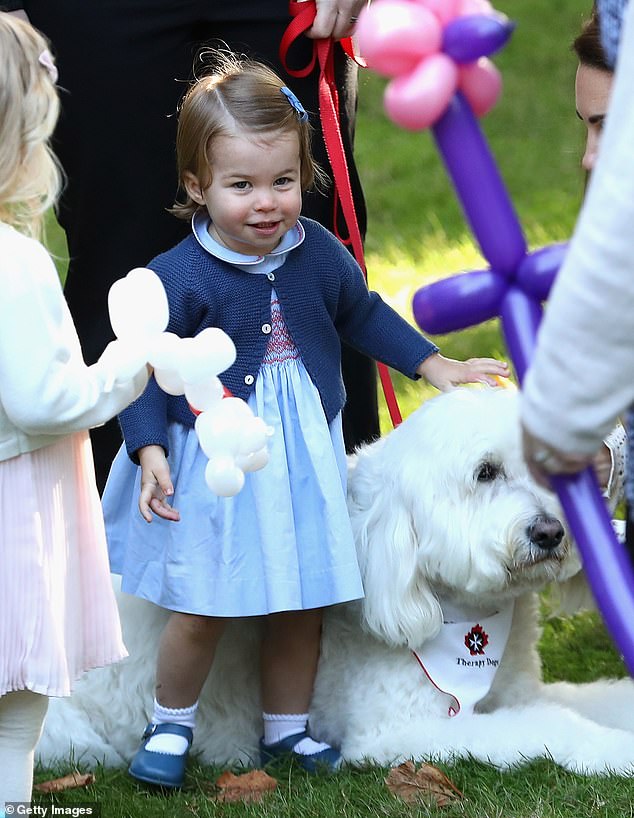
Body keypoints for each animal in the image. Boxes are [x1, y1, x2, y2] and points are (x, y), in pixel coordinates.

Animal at [35, 388, 634, 772]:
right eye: (485, 473)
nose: (551, 532)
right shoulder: (400, 730)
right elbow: (549, 725)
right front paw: (614, 752)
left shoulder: (517, 690)